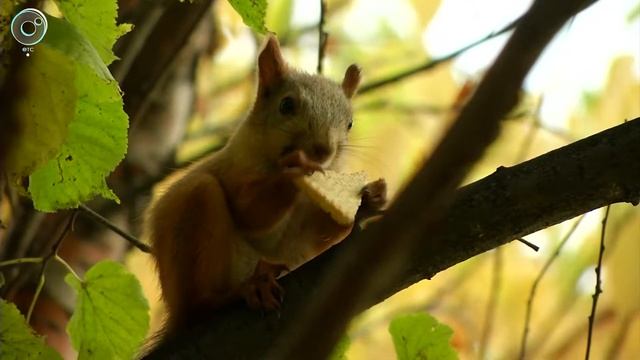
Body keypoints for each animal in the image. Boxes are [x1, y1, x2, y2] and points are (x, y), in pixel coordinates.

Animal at [145, 35, 384, 330]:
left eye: (350, 123)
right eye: (286, 105)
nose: (323, 150)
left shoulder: (306, 227)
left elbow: (321, 235)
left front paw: (370, 201)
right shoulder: (236, 171)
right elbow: (249, 212)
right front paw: (293, 171)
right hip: (195, 216)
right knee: (201, 302)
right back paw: (241, 290)